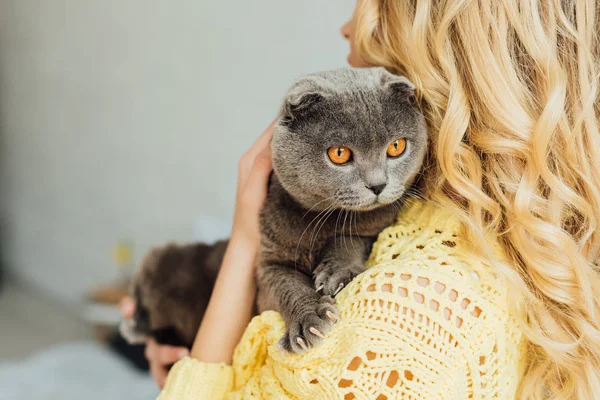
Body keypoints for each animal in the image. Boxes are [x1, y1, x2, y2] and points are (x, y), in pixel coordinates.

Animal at [120, 68, 426, 354]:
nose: (378, 185)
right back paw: (134, 324)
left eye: (396, 146)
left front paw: (338, 273)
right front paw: (309, 322)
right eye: (339, 153)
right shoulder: (268, 263)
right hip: (167, 259)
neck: (323, 220)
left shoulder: (374, 229)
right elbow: (286, 287)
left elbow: (350, 239)